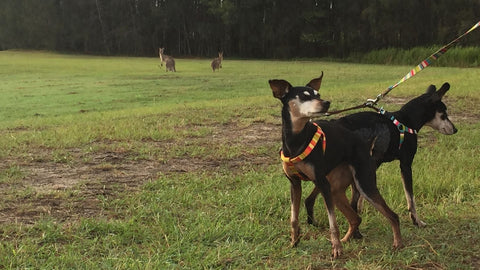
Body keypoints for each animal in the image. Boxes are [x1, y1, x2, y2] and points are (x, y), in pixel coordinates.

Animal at [270, 73, 402, 258]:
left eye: (318, 94)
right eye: (304, 96)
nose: (326, 103)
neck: (297, 140)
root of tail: (366, 144)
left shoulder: (322, 183)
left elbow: (333, 224)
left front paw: (336, 249)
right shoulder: (294, 184)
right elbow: (293, 218)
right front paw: (294, 242)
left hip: (364, 184)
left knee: (393, 216)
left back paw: (398, 243)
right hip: (336, 190)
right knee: (355, 218)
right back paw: (347, 239)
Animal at [306, 82, 456, 230]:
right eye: (444, 114)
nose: (455, 129)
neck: (406, 120)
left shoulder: (371, 165)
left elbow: (362, 198)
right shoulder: (405, 165)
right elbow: (410, 198)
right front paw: (417, 221)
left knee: (311, 199)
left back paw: (312, 221)